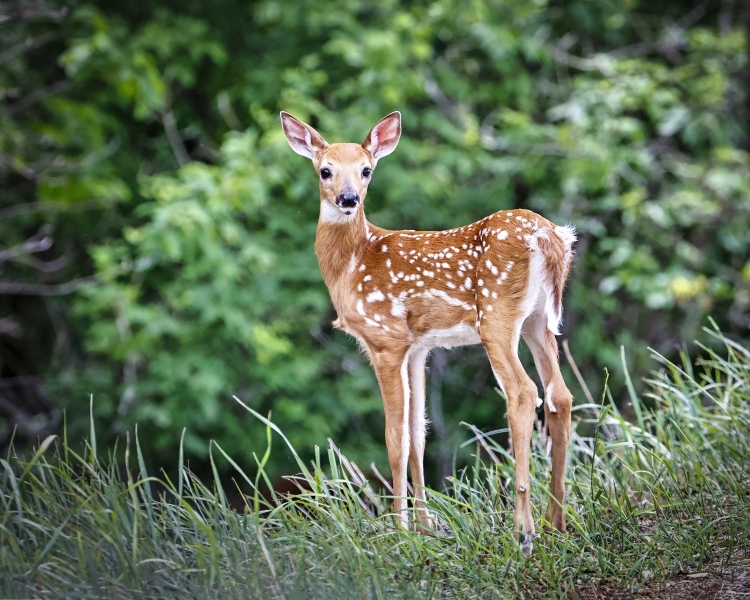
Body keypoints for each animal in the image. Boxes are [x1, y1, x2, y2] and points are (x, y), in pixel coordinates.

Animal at [280, 110, 576, 556]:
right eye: (325, 170)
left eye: (366, 170)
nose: (348, 199)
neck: (351, 264)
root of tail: (550, 236)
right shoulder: (419, 347)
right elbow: (418, 433)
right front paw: (425, 526)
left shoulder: (385, 339)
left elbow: (394, 436)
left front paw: (398, 530)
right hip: (539, 321)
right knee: (560, 395)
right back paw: (555, 522)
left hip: (497, 316)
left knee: (524, 393)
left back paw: (523, 530)